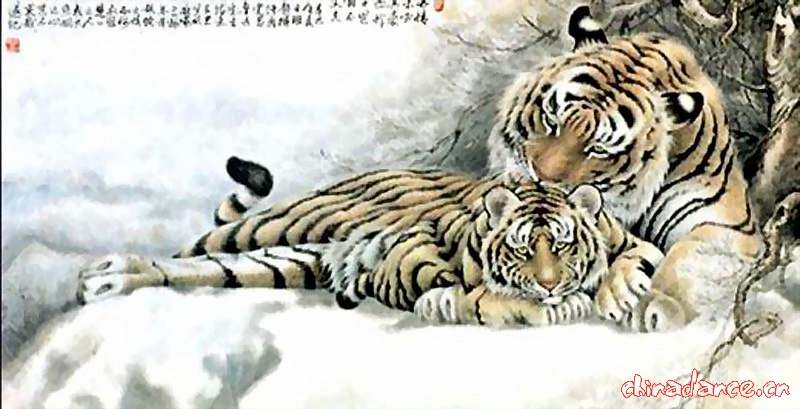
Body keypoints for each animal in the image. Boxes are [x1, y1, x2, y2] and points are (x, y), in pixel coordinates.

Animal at [76, 162, 664, 329]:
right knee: (192, 255)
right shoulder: (413, 250)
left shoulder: (630, 240)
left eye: (564, 246)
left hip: (289, 260)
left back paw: (108, 277)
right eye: (522, 249)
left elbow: (636, 258)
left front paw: (615, 293)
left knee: (210, 267)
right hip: (274, 230)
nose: (549, 284)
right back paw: (105, 274)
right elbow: (467, 292)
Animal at [485, 5, 763, 331]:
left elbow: (684, 258)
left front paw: (655, 303)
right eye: (551, 118)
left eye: (598, 148)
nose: (539, 178)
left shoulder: (728, 226)